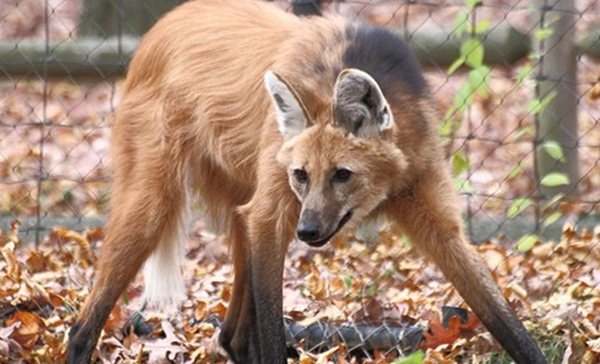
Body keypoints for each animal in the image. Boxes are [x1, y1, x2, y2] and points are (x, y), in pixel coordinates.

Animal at [67, 0, 548, 364]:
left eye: (343, 175)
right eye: (302, 174)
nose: (308, 231)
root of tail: (159, 27)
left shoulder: (434, 215)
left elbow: (506, 320)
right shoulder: (274, 214)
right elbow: (272, 331)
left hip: (245, 209)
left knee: (232, 335)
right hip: (157, 205)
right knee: (81, 327)